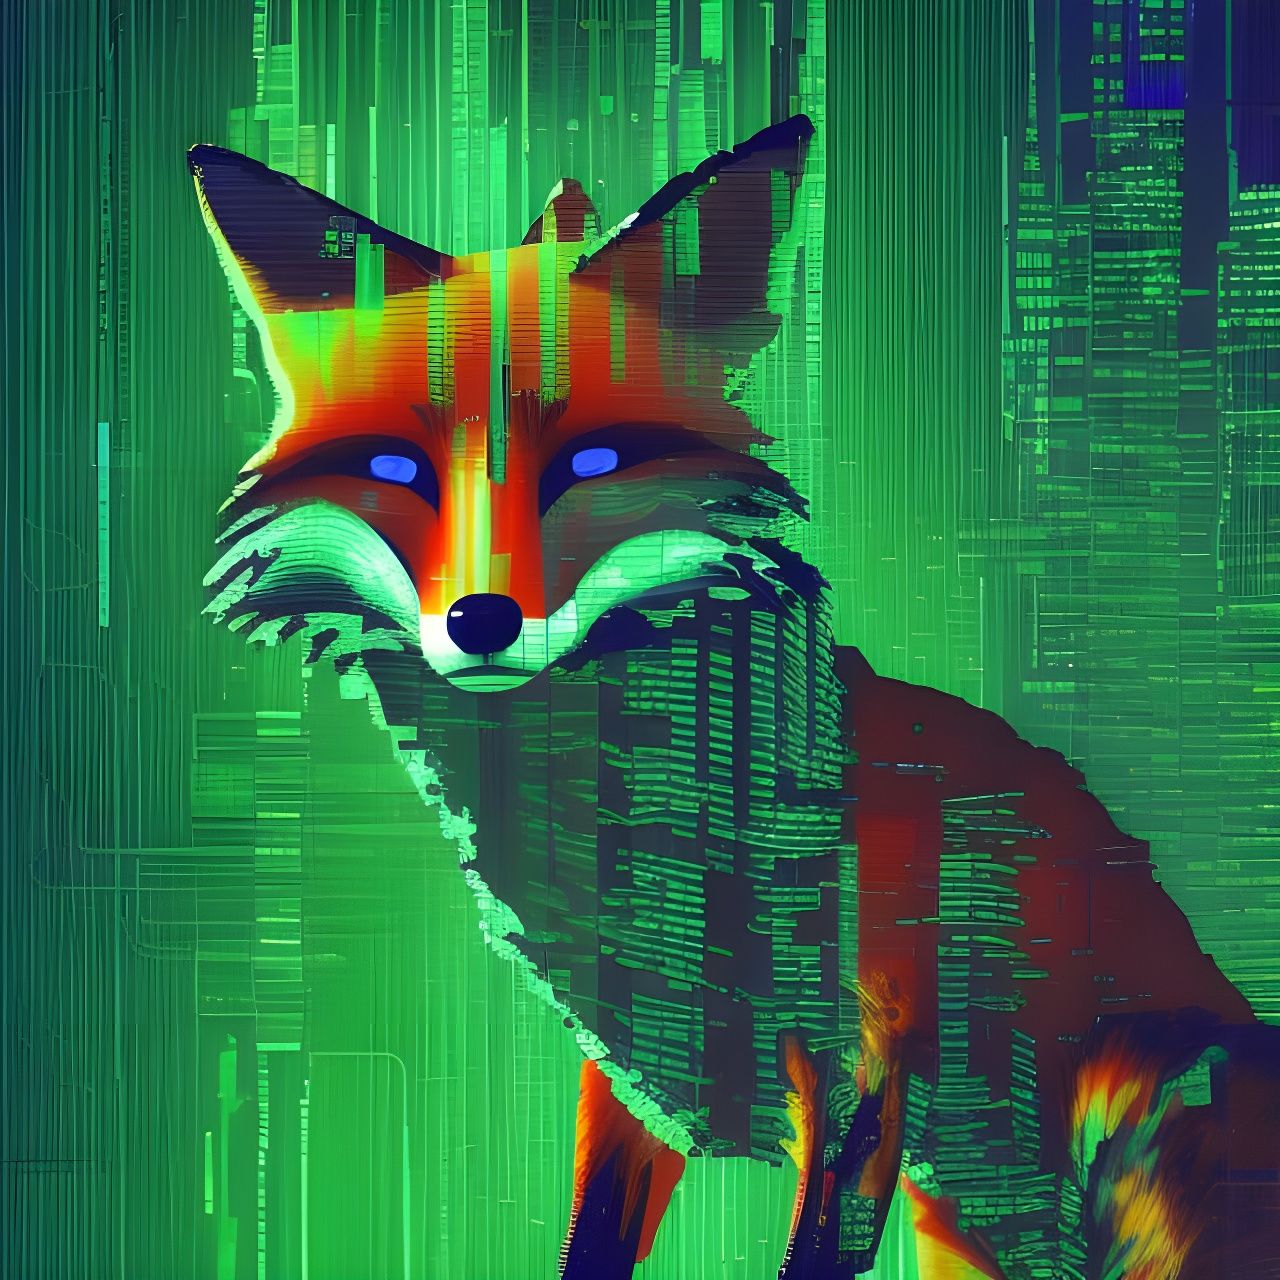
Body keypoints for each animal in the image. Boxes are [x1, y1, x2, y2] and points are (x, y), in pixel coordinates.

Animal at [189, 116, 1280, 1279]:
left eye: (594, 461)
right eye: (397, 468)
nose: (482, 622)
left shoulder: (863, 1077)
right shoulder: (633, 1071)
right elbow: (593, 1237)